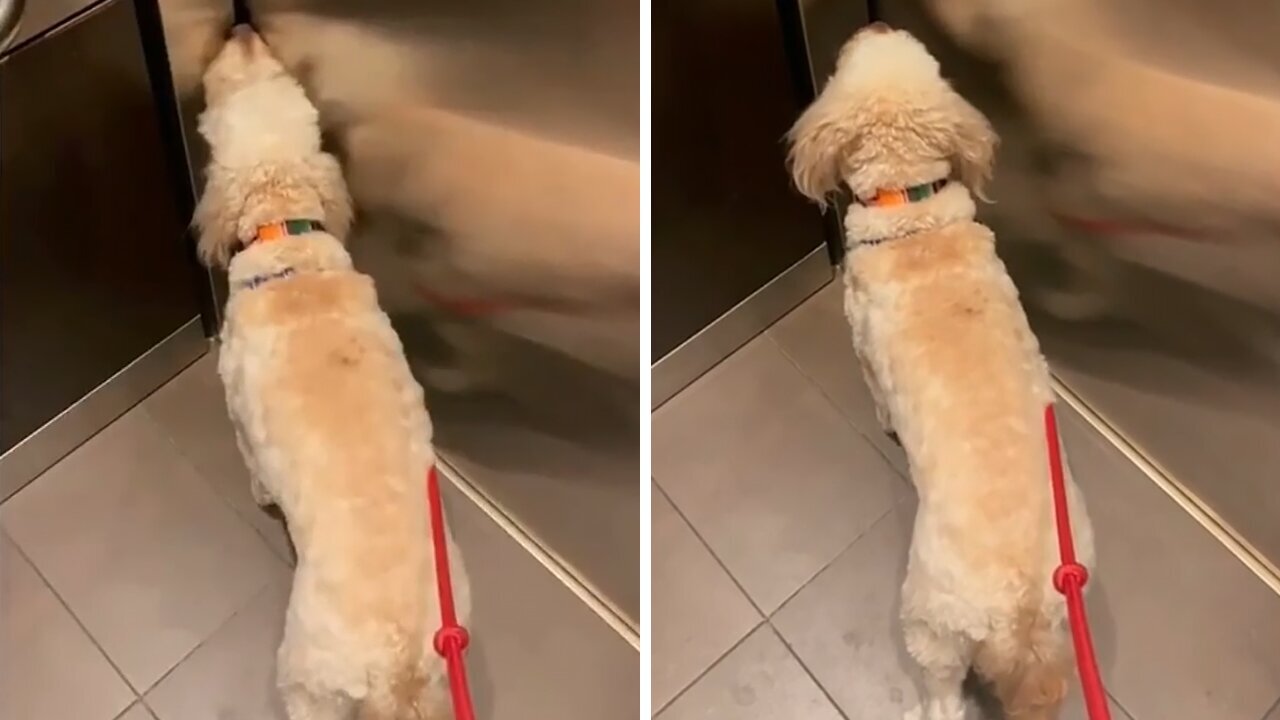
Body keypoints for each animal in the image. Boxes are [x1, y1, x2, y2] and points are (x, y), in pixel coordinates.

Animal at [192, 25, 468, 712]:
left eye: (216, 88)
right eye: (273, 67)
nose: (240, 27)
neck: (286, 235)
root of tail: (396, 667)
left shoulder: (238, 407)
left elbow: (252, 463)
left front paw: (262, 495)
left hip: (305, 674)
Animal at [783, 22, 1095, 717]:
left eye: (842, 61)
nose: (874, 21)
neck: (912, 215)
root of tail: (1019, 613)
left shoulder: (863, 339)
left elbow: (874, 390)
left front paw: (884, 422)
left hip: (930, 624)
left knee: (944, 696)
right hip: (1065, 611)